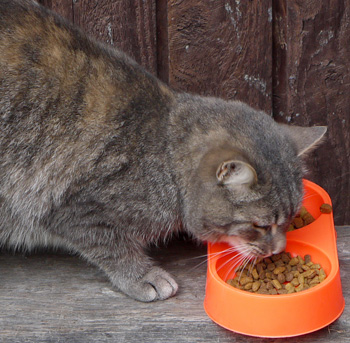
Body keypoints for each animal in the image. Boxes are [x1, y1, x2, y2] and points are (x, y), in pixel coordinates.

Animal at [0, 0, 326, 300]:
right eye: (260, 225)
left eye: (291, 219)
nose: (278, 249)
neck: (164, 151)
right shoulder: (70, 210)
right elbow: (112, 247)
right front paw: (142, 275)